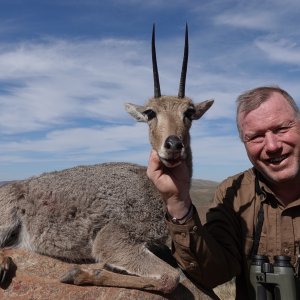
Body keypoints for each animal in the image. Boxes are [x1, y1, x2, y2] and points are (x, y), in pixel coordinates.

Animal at [0, 24, 216, 296]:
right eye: (150, 113)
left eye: (189, 112)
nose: (174, 144)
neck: (152, 190)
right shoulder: (112, 237)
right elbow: (171, 277)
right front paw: (80, 273)